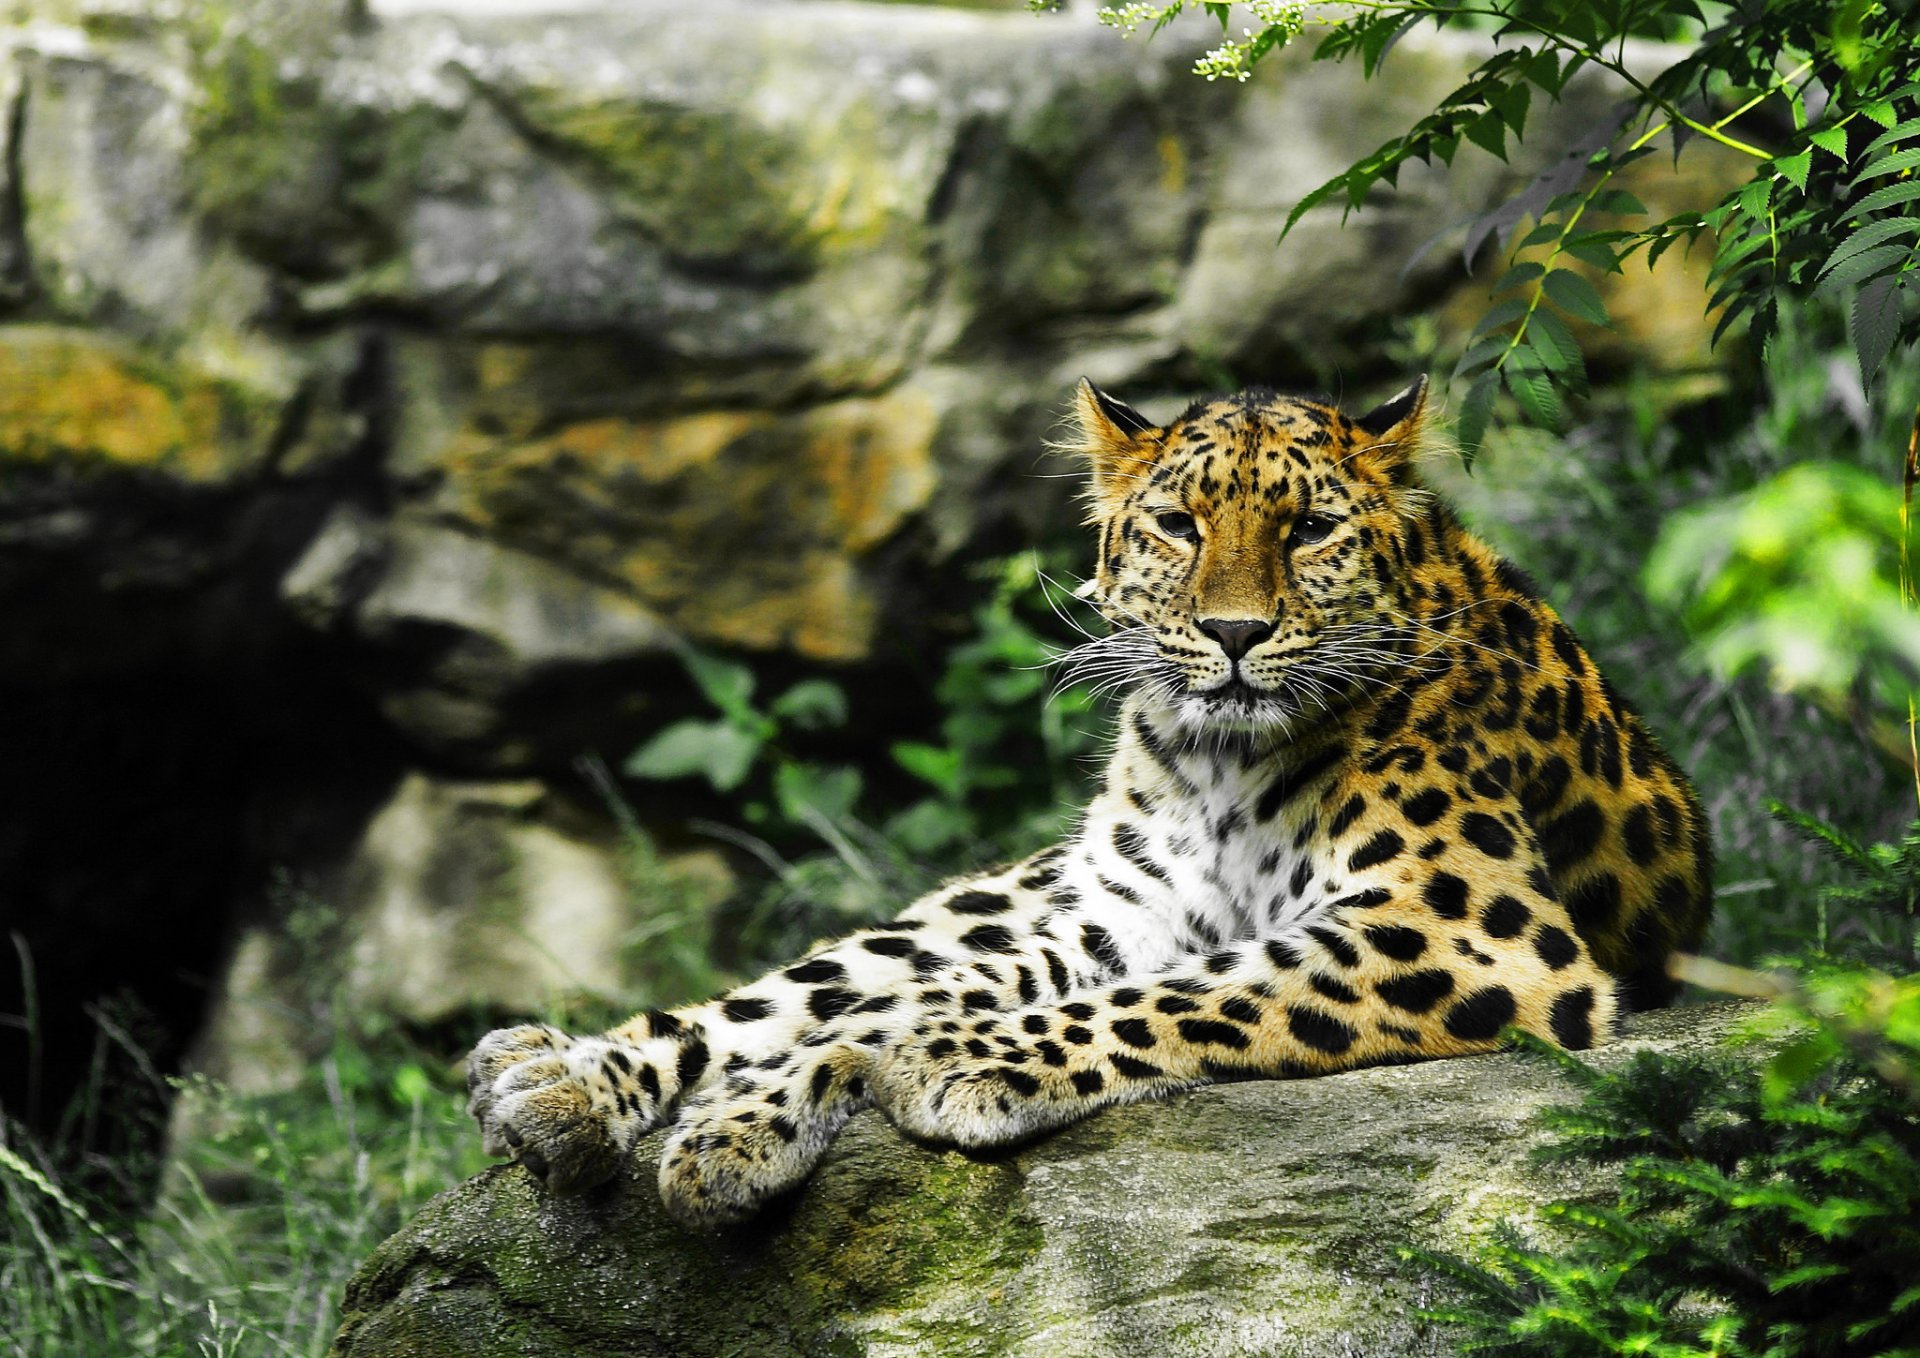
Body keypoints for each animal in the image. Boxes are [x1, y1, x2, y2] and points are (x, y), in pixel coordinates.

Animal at [466, 375, 1712, 1229]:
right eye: (1179, 525)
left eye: (1310, 529)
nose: (1235, 632)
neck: (1220, 764)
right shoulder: (1122, 916)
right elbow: (1093, 989)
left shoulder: (1465, 932)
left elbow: (1175, 998)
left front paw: (932, 1062)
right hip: (1003, 894)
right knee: (817, 983)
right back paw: (557, 1075)